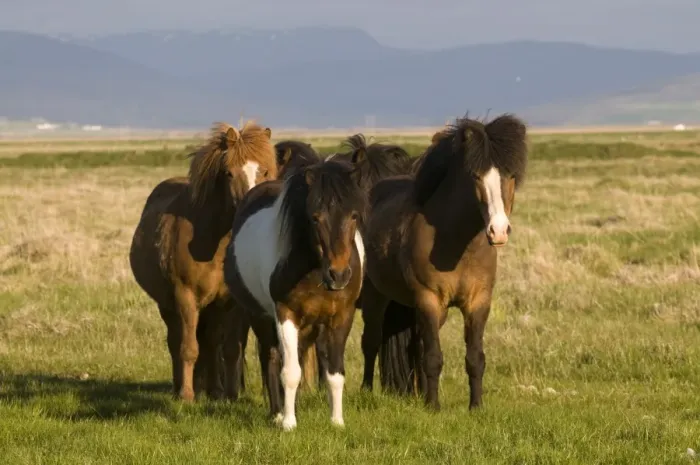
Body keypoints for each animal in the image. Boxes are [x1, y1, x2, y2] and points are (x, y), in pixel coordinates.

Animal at [129, 121, 278, 403]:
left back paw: (211, 389)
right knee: (175, 341)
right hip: (168, 305)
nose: (249, 207)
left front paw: (227, 394)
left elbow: (227, 348)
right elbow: (188, 347)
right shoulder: (185, 297)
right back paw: (181, 388)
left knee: (209, 343)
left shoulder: (229, 303)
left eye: (265, 171)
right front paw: (186, 396)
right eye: (229, 173)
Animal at [224, 158, 367, 430]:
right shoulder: (285, 313)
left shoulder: (342, 316)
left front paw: (337, 421)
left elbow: (334, 373)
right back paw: (278, 413)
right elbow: (290, 372)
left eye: (354, 215)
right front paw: (289, 423)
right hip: (260, 316)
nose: (339, 275)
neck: (314, 271)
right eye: (315, 218)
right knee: (271, 357)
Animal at [360, 114, 528, 410]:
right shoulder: (429, 299)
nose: (498, 231)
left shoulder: (478, 302)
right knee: (371, 342)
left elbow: (474, 358)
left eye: (510, 175)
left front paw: (475, 407)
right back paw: (367, 391)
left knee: (415, 346)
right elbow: (433, 357)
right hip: (376, 295)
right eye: (475, 176)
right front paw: (433, 407)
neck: (458, 246)